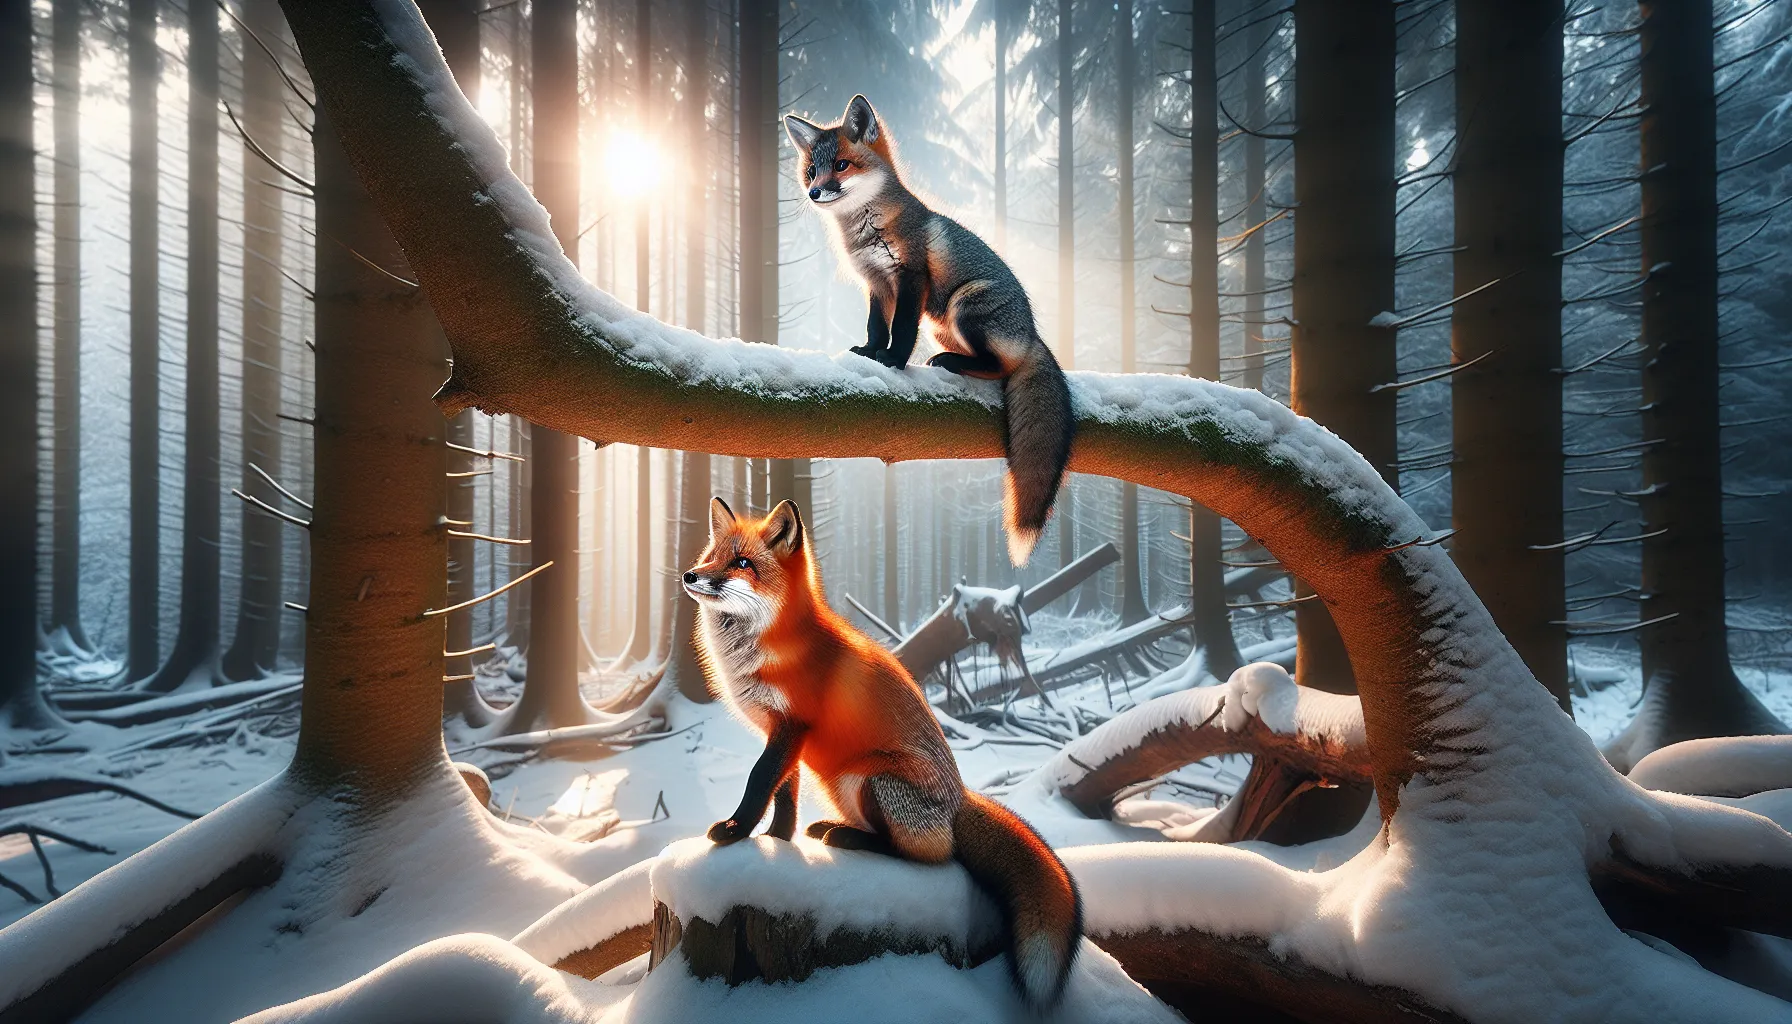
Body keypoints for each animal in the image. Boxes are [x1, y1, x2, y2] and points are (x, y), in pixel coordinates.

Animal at [682, 497, 1084, 1010]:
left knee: (926, 854)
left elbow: (759, 782)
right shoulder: (785, 734)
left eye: (743, 564)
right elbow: (783, 792)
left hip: (869, 779)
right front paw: (777, 839)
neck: (766, 647)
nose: (691, 575)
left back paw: (849, 839)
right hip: (844, 785)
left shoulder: (792, 727)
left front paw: (736, 832)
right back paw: (832, 830)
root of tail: (959, 799)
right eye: (712, 556)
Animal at [785, 95, 1074, 566]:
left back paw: (952, 363)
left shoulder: (911, 278)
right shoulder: (877, 285)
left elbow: (902, 331)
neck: (865, 231)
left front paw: (895, 362)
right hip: (942, 325)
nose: (814, 192)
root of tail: (1033, 335)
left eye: (842, 165)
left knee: (998, 367)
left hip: (962, 307)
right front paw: (870, 352)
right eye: (812, 171)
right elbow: (876, 327)